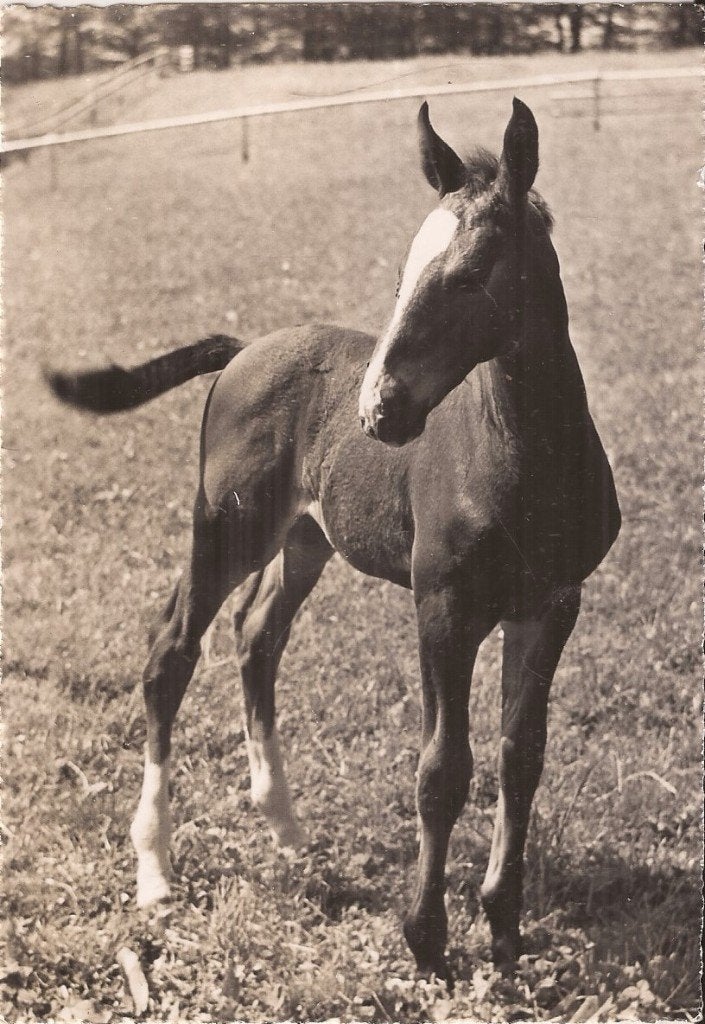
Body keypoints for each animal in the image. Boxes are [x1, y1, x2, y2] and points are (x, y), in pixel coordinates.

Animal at [47, 98, 620, 981]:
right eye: (401, 275)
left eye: (473, 272)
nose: (380, 409)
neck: (528, 461)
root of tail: (242, 349)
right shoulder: (442, 607)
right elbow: (442, 768)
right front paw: (427, 938)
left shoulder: (552, 604)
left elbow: (521, 757)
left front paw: (502, 927)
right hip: (228, 525)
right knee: (172, 652)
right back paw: (155, 867)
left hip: (303, 541)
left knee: (257, 635)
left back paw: (285, 826)